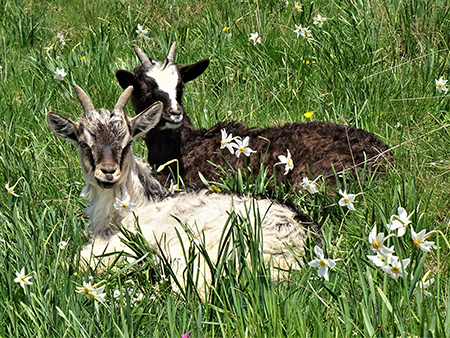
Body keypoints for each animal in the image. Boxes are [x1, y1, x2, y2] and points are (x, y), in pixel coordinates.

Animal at [46, 84, 320, 298]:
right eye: (84, 143)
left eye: (127, 142)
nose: (108, 172)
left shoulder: (127, 241)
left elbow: (79, 259)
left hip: (200, 254)